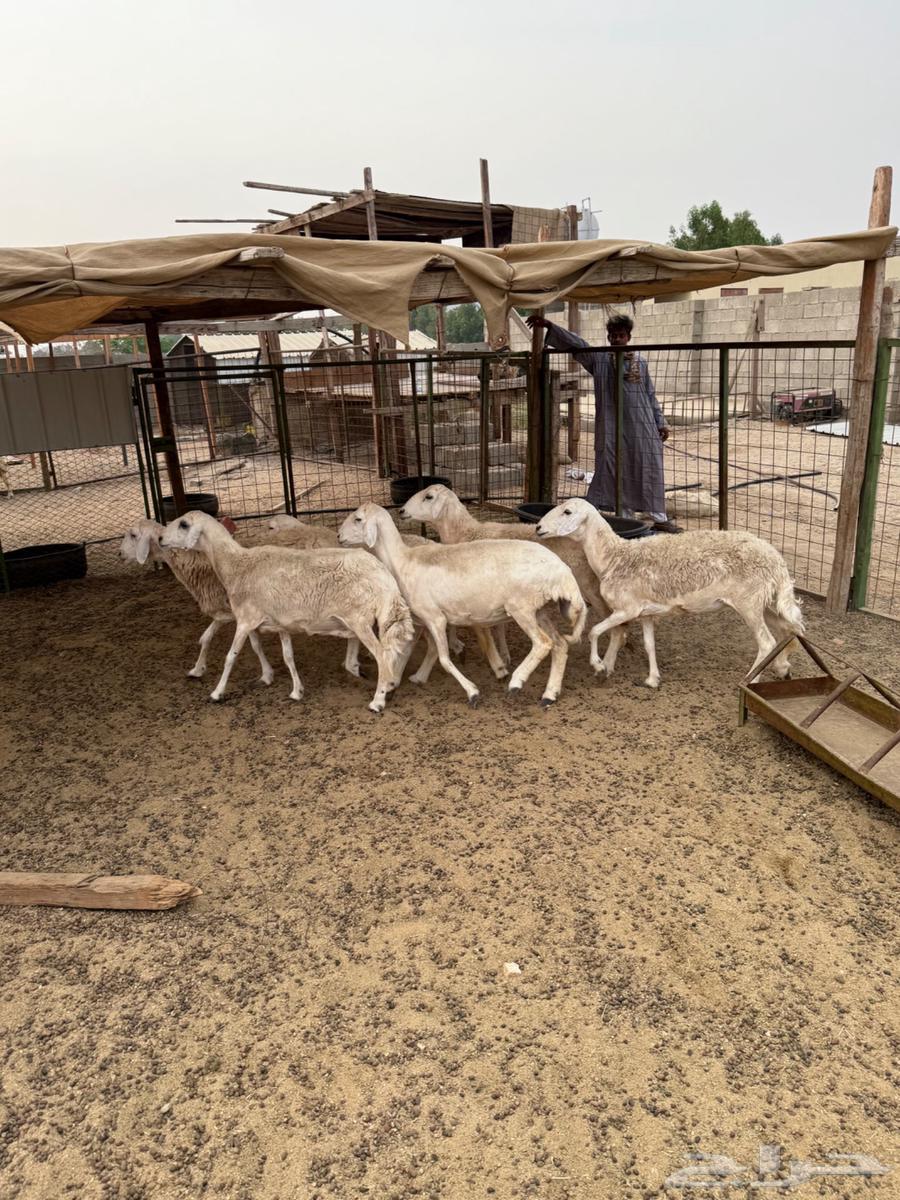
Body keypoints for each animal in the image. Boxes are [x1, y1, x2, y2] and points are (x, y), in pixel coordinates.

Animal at [160, 510, 415, 712]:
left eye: (183, 524)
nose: (161, 538)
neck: (236, 564)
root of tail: (384, 577)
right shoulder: (275, 623)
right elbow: (285, 656)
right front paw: (293, 689)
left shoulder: (245, 619)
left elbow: (230, 657)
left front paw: (216, 692)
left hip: (360, 620)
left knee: (383, 655)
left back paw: (378, 700)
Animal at [338, 502, 586, 707]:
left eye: (358, 519)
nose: (339, 536)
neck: (402, 561)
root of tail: (562, 572)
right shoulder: (420, 621)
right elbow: (407, 651)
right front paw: (395, 684)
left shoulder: (435, 618)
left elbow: (444, 659)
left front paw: (472, 692)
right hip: (539, 609)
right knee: (560, 644)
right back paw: (550, 694)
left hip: (522, 607)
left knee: (543, 643)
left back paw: (517, 681)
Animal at [535, 498, 804, 688]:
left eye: (568, 512)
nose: (538, 527)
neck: (613, 557)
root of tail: (777, 560)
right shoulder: (645, 612)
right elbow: (649, 645)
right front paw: (652, 679)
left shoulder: (627, 609)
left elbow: (594, 631)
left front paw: (599, 666)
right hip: (765, 602)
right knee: (788, 629)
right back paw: (783, 668)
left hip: (749, 602)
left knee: (767, 642)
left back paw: (752, 679)